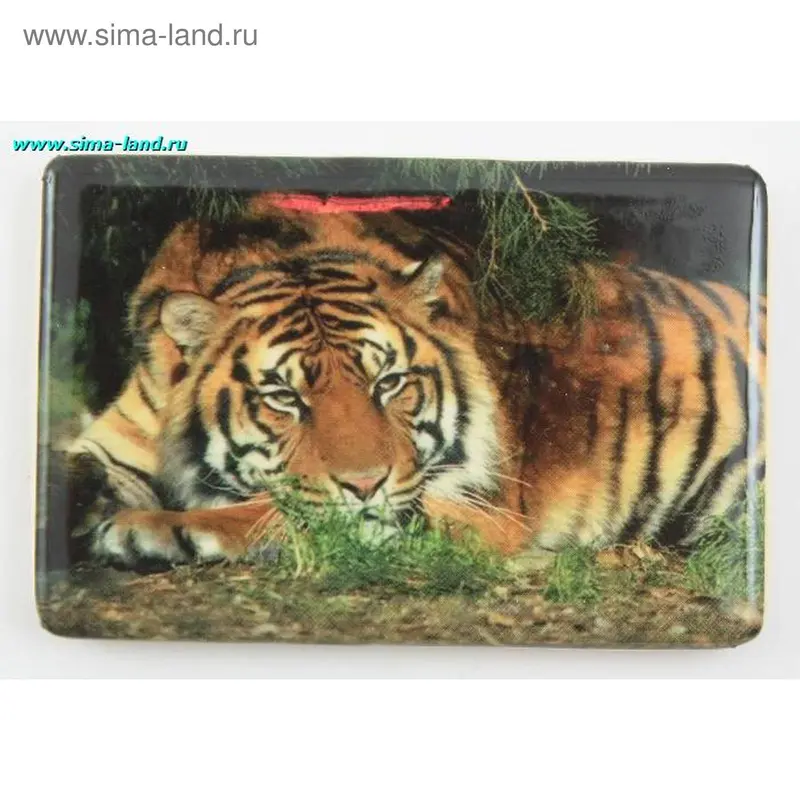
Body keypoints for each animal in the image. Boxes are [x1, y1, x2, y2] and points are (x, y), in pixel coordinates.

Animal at [63, 192, 767, 570]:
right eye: (284, 398)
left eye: (389, 383)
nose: (365, 483)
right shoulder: (115, 437)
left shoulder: (473, 505)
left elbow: (289, 510)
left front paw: (147, 528)